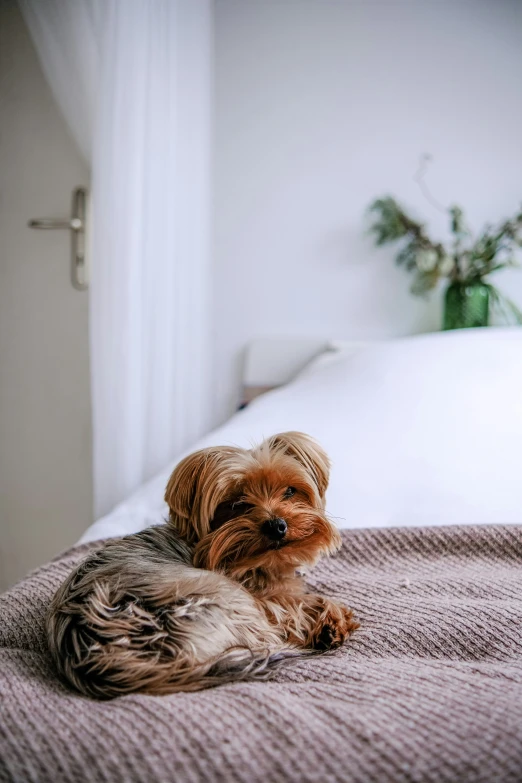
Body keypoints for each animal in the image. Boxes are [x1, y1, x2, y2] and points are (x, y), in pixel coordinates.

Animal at [47, 434, 358, 700]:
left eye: (290, 491)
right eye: (237, 504)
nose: (277, 525)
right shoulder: (257, 598)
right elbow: (291, 604)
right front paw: (332, 618)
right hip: (227, 601)